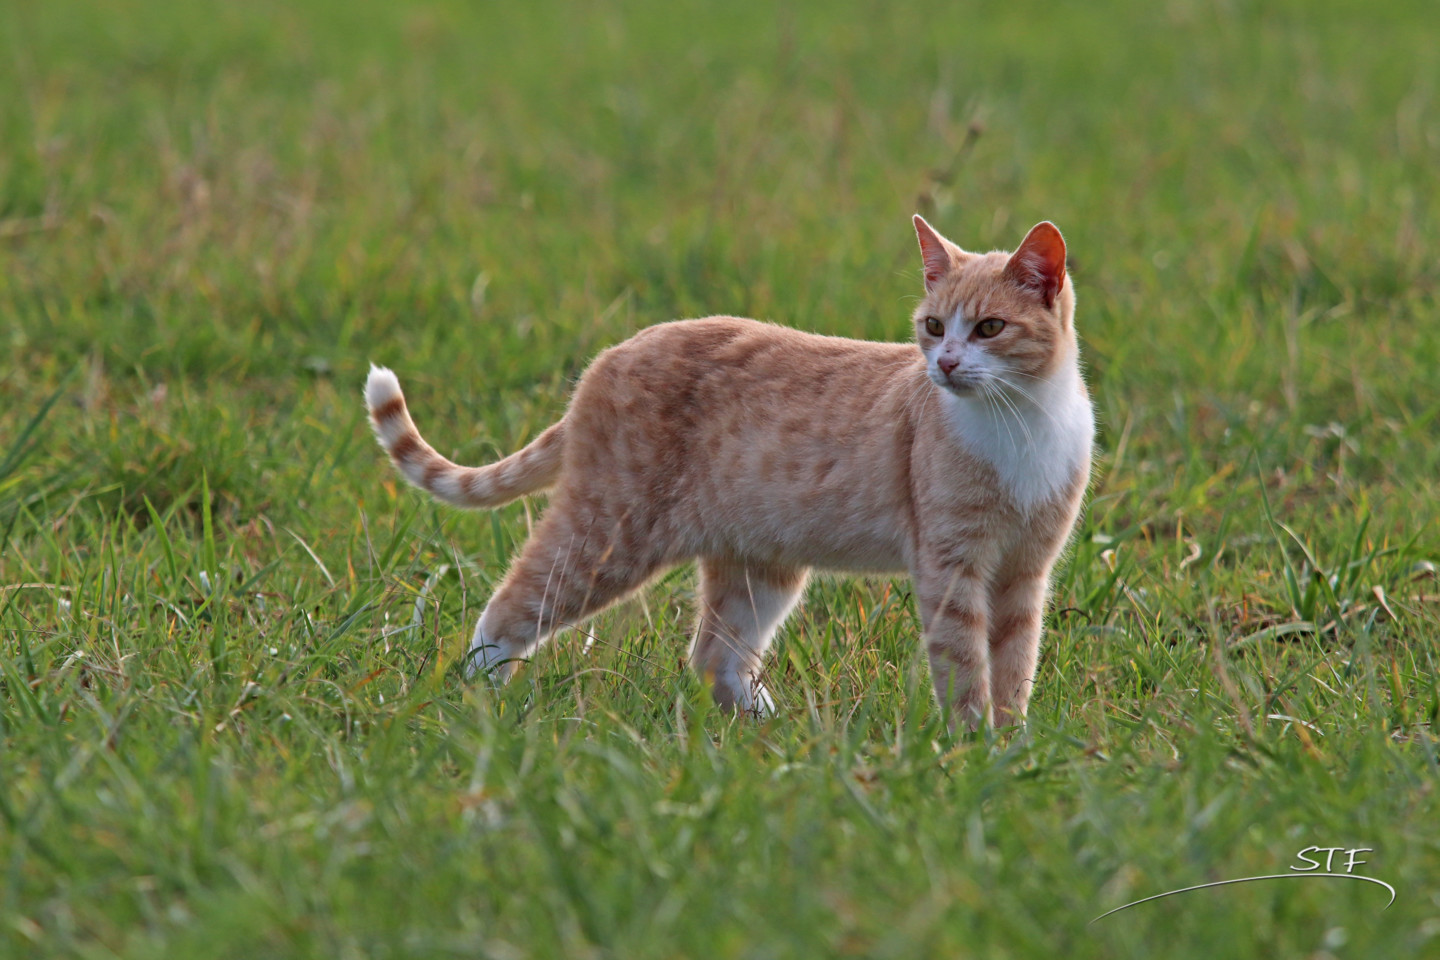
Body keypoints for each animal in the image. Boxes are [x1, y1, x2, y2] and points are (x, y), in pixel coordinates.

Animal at [368, 217, 1088, 728]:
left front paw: (1009, 745)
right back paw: (480, 701)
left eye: (990, 328)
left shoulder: (1025, 573)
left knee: (714, 656)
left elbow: (1014, 664)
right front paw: (970, 744)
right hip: (607, 538)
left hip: (756, 564)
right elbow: (965, 663)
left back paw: (775, 731)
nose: (945, 364)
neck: (1020, 423)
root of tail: (609, 357)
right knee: (508, 607)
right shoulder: (953, 568)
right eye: (934, 326)